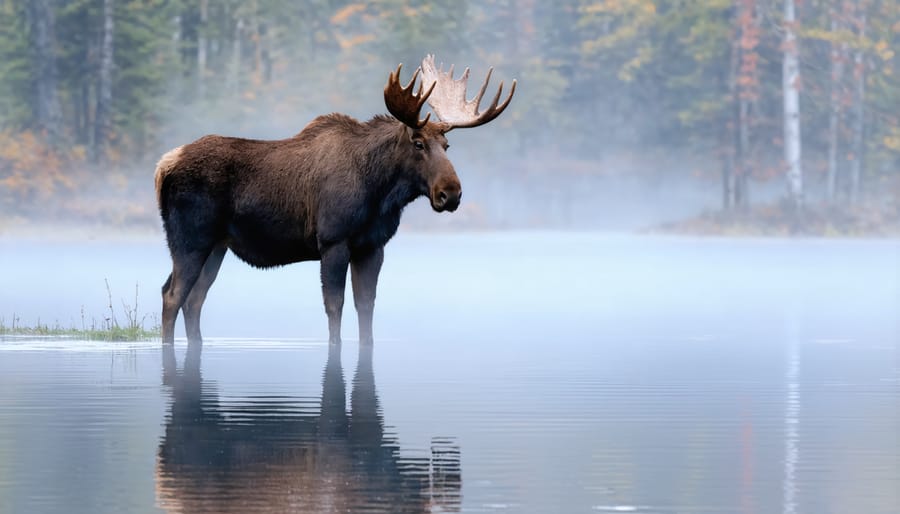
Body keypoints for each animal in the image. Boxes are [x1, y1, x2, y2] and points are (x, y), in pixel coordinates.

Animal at [154, 55, 516, 345]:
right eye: (417, 143)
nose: (450, 192)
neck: (379, 192)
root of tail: (163, 166)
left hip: (217, 245)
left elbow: (366, 305)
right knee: (172, 294)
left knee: (194, 299)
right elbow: (335, 306)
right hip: (191, 239)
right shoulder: (333, 240)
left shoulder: (372, 246)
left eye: (447, 145)